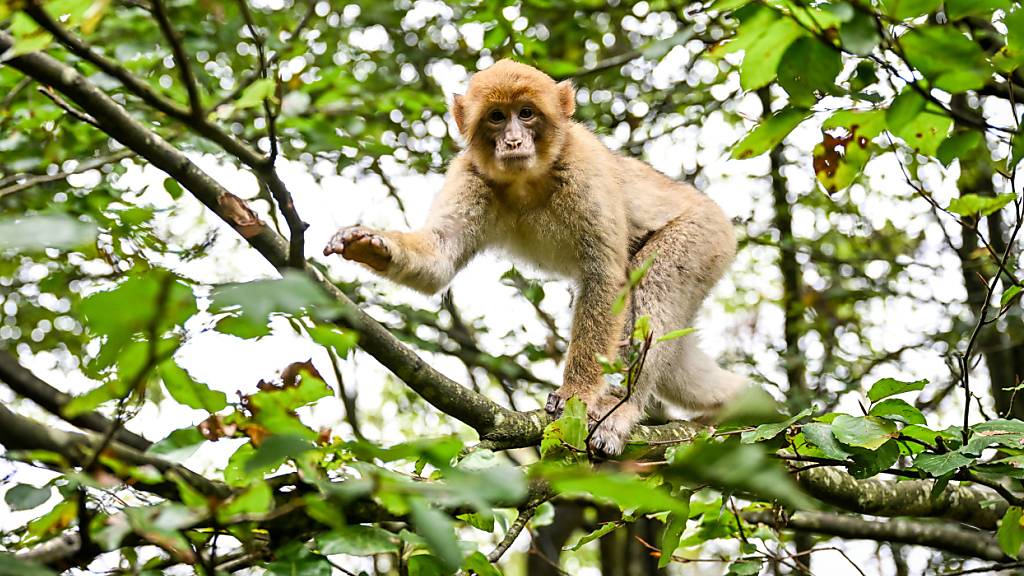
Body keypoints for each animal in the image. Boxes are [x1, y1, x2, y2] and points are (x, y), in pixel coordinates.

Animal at [325, 59, 745, 453]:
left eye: (526, 113)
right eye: (497, 117)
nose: (513, 140)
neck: (528, 179)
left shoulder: (585, 169)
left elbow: (606, 278)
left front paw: (577, 393)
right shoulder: (470, 174)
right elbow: (439, 258)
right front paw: (370, 244)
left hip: (703, 237)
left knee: (652, 290)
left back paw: (622, 409)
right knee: (675, 360)